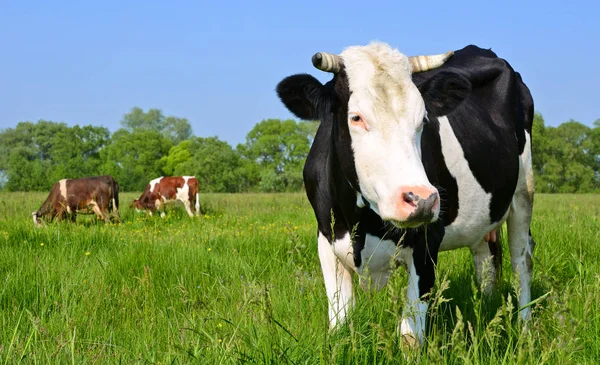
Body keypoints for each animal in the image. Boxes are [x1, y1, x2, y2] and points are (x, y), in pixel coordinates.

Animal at [276, 41, 536, 346]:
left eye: (422, 119)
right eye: (356, 117)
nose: (421, 199)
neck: (361, 223)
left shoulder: (427, 240)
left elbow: (410, 336)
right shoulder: (326, 237)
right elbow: (339, 323)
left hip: (523, 194)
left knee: (522, 261)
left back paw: (525, 329)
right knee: (486, 263)